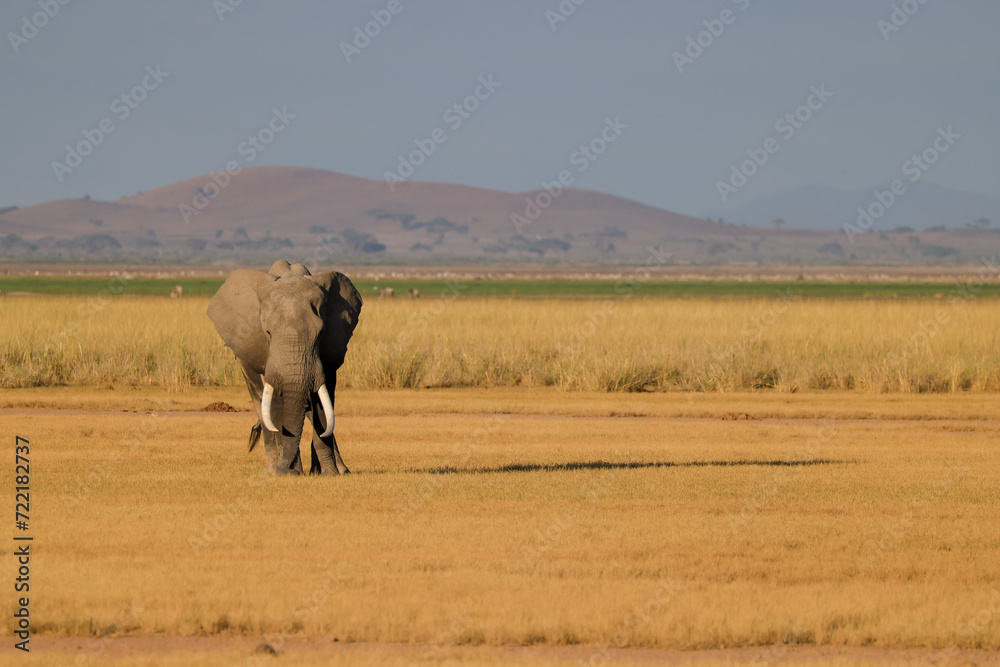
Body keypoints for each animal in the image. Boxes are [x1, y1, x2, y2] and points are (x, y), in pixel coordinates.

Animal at [207, 259, 363, 475]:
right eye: (267, 332)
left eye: (321, 333)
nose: (287, 469)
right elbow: (275, 403)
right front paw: (287, 471)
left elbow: (323, 403)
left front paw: (327, 473)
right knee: (261, 399)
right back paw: (274, 467)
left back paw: (338, 469)